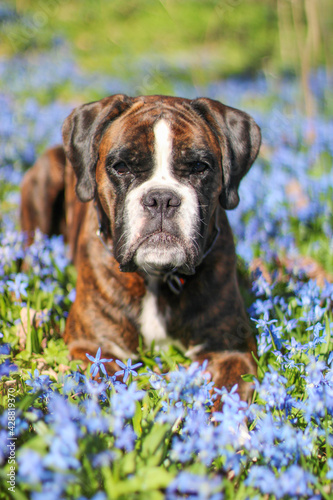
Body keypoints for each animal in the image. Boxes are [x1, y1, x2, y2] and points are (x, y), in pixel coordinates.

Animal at [20, 93, 260, 398]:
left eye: (199, 167)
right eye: (121, 167)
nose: (162, 199)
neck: (157, 276)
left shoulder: (231, 352)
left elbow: (229, 397)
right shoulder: (95, 347)